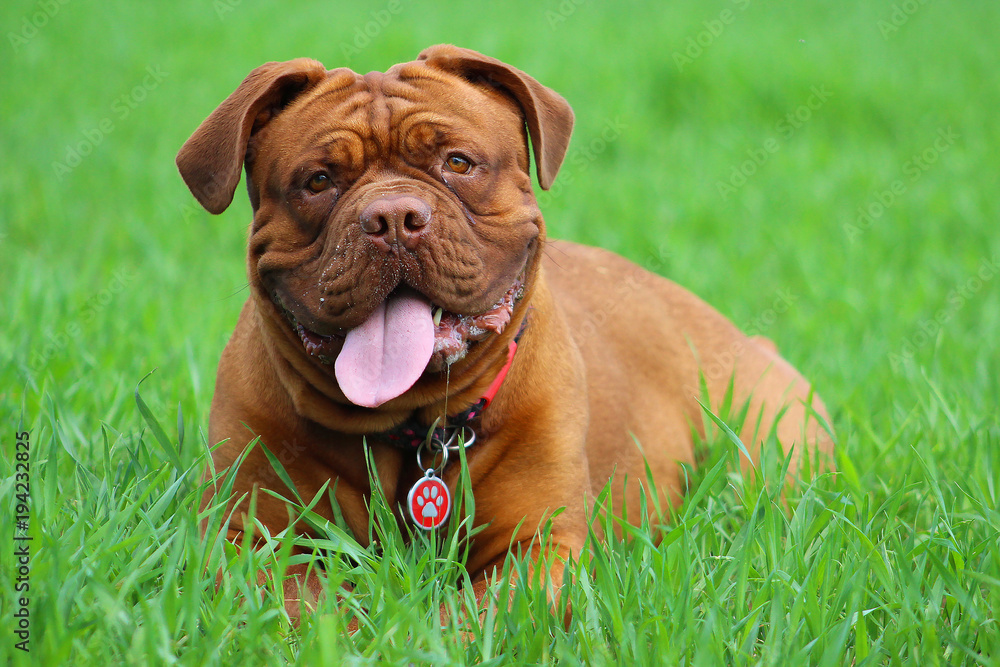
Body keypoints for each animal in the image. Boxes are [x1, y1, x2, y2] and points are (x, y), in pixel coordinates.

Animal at [176, 44, 832, 620]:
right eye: (317, 180)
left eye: (458, 163)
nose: (392, 218)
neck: (417, 429)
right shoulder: (247, 536)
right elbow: (297, 607)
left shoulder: (540, 546)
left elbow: (475, 617)